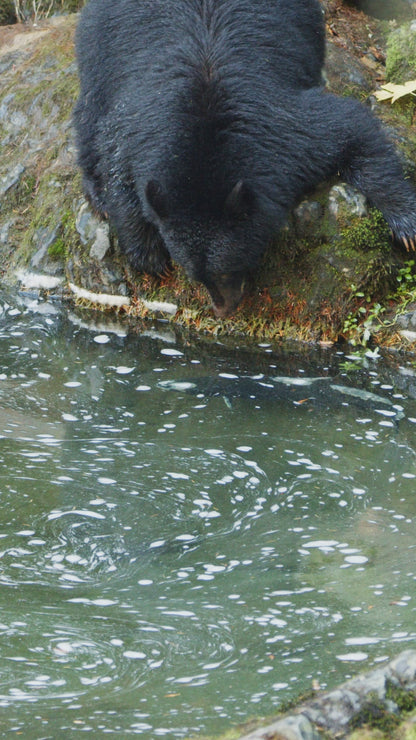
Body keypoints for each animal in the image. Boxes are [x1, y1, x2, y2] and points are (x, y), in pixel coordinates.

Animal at [73, 0, 416, 316]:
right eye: (196, 276)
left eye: (227, 269)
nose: (222, 310)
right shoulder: (143, 125)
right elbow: (114, 158)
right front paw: (147, 253)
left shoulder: (285, 130)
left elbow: (351, 125)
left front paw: (406, 224)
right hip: (98, 44)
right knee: (89, 112)